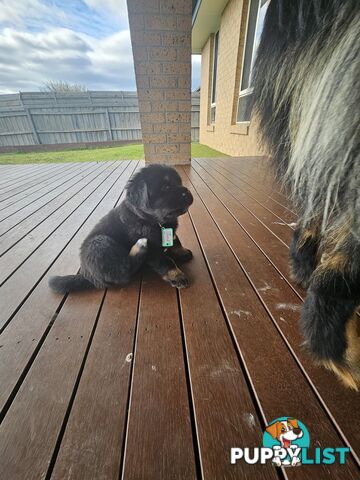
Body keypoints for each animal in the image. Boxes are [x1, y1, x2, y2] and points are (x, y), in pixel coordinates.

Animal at [48, 164, 194, 292]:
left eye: (179, 182)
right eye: (165, 187)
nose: (187, 191)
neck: (153, 220)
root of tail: (88, 276)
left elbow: (176, 240)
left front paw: (182, 252)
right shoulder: (153, 250)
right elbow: (166, 262)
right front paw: (177, 276)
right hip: (100, 243)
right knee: (123, 273)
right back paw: (139, 247)